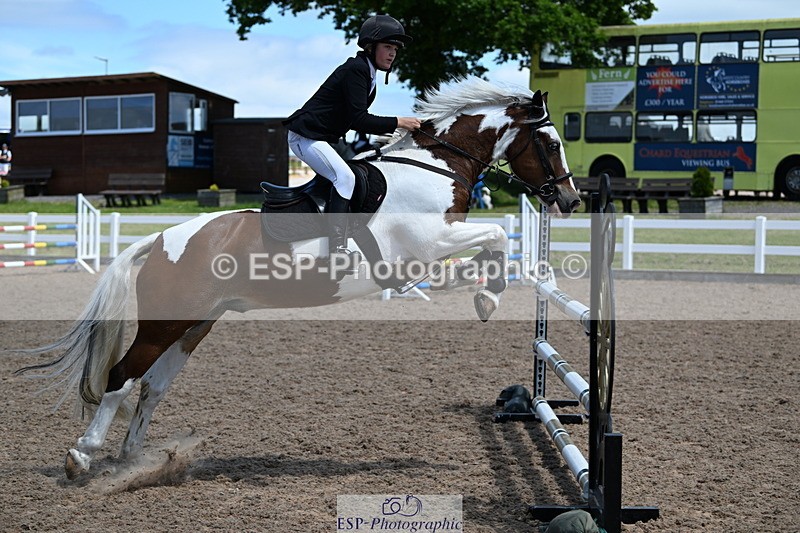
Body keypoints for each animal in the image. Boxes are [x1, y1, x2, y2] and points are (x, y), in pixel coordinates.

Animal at [16, 76, 580, 480]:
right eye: (550, 143)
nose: (571, 200)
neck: (436, 167)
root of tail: (158, 240)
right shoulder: (426, 244)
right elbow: (498, 234)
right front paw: (488, 295)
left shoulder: (429, 252)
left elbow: (490, 246)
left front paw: (484, 291)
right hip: (165, 324)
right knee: (121, 379)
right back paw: (83, 457)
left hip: (195, 325)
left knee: (152, 387)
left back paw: (136, 462)